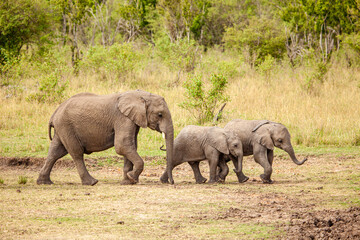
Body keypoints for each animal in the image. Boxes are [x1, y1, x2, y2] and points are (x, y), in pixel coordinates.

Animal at [37, 90, 175, 186]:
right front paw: (132, 177)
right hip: (66, 126)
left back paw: (44, 182)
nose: (171, 183)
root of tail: (54, 113)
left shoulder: (132, 119)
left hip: (62, 128)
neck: (141, 95)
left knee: (55, 152)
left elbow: (130, 145)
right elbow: (122, 145)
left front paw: (127, 182)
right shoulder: (122, 117)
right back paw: (92, 183)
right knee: (76, 153)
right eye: (160, 114)